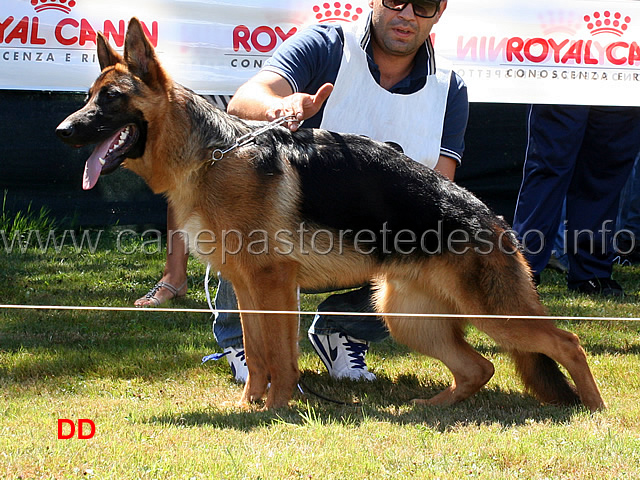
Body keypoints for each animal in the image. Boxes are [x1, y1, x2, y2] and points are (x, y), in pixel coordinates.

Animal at [56, 16, 604, 410]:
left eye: (111, 99)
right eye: (88, 98)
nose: (62, 131)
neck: (210, 154)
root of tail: (489, 216)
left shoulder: (275, 285)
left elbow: (280, 355)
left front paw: (277, 408)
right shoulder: (249, 287)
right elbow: (258, 353)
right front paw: (250, 404)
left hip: (492, 314)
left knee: (568, 342)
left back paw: (595, 411)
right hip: (405, 315)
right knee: (480, 368)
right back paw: (432, 407)